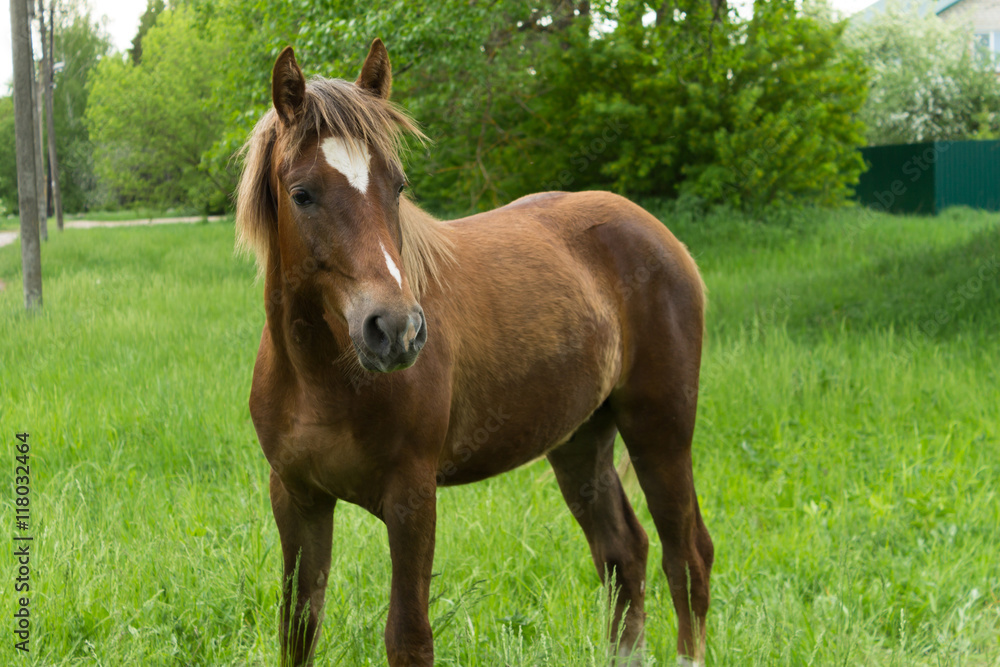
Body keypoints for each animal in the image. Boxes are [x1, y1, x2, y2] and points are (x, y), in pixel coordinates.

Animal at [238, 39, 716, 664]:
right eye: (302, 194)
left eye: (397, 186)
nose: (396, 330)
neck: (321, 379)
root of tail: (665, 239)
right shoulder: (297, 498)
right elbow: (298, 627)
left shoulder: (412, 498)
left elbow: (408, 636)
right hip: (580, 439)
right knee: (624, 553)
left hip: (660, 432)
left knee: (686, 559)